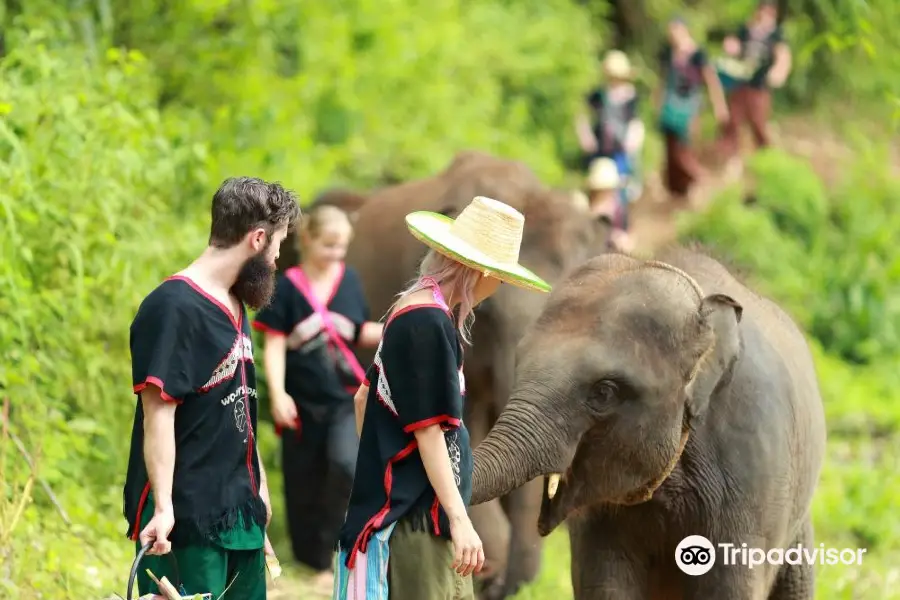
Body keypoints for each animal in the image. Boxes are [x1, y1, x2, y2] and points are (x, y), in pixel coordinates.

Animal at [472, 245, 828, 600]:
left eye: (604, 392)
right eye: (520, 360)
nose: (491, 585)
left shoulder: (751, 468)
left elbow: (730, 586)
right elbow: (604, 583)